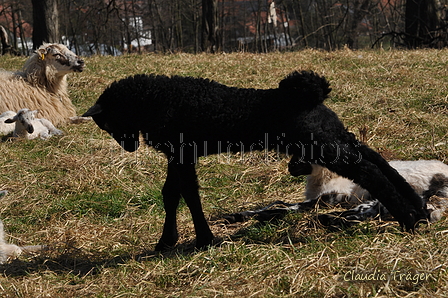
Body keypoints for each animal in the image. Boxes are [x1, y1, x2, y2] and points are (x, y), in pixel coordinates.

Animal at [84, 71, 430, 250]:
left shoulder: (183, 152)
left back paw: (409, 220)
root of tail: (311, 96)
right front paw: (168, 241)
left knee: (370, 172)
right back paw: (419, 211)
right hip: (334, 137)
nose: (128, 147)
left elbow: (189, 195)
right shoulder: (179, 155)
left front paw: (204, 239)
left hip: (322, 146)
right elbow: (172, 194)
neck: (157, 100)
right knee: (378, 161)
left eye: (108, 123)